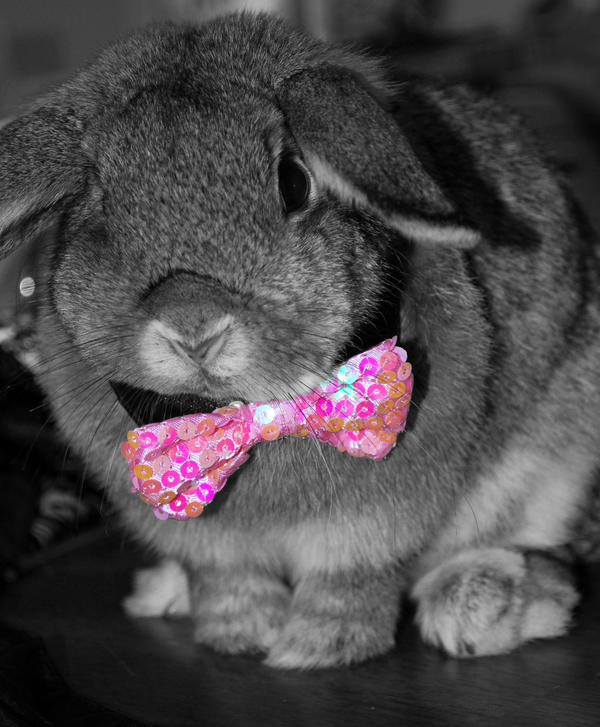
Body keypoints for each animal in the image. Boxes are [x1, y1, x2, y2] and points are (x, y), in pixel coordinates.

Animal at [1, 12, 599, 669]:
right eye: (99, 204)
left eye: (294, 181)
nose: (193, 324)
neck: (253, 412)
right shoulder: (201, 535)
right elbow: (225, 579)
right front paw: (238, 634)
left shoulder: (375, 521)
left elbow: (351, 579)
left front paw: (317, 647)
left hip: (562, 446)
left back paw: (482, 601)